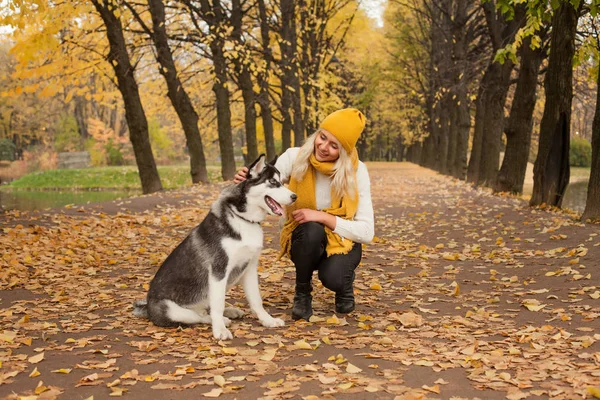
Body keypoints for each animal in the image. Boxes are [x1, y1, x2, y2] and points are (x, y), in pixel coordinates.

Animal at [134, 155, 298, 340]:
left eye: (281, 181)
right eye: (273, 182)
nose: (295, 196)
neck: (242, 219)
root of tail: (147, 307)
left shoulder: (249, 268)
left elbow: (256, 300)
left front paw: (267, 320)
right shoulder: (219, 270)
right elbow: (218, 305)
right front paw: (220, 329)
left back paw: (231, 312)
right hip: (172, 309)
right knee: (200, 316)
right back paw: (222, 320)